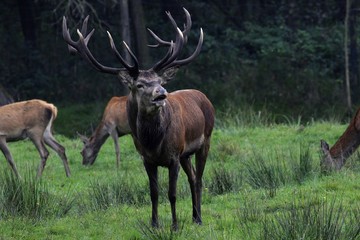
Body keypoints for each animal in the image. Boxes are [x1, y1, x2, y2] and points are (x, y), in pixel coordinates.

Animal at [62, 8, 215, 230]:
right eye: (140, 85)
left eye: (160, 81)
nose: (161, 94)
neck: (153, 142)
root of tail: (205, 98)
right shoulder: (147, 159)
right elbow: (154, 193)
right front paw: (154, 224)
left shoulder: (173, 156)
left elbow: (172, 194)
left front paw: (175, 225)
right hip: (186, 154)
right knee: (193, 177)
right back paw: (194, 216)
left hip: (206, 140)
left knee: (199, 179)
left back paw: (199, 218)